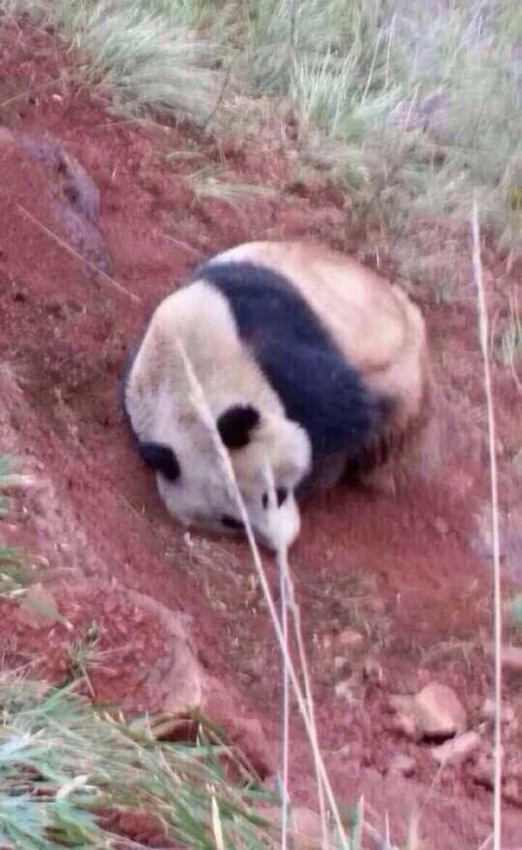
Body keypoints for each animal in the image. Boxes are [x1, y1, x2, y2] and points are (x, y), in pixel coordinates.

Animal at [123, 242, 430, 552]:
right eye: (232, 522)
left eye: (275, 495)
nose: (282, 542)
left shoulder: (272, 349)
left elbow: (345, 412)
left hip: (396, 358)